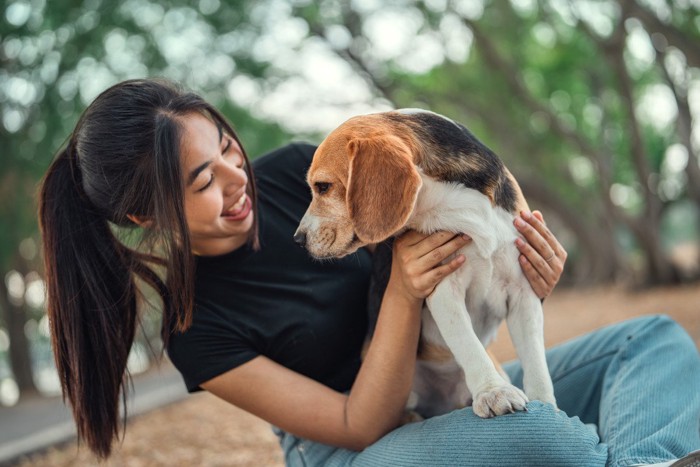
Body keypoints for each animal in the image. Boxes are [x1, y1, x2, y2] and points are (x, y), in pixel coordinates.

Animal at [292, 109, 556, 420]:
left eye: (323, 187)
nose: (298, 240)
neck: (455, 206)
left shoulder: (522, 288)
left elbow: (536, 360)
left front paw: (547, 407)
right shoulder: (443, 286)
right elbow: (467, 343)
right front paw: (493, 392)